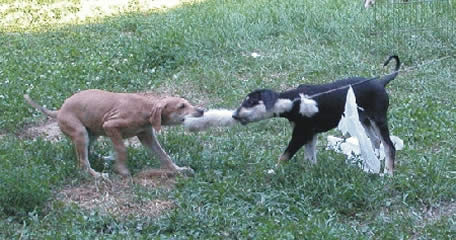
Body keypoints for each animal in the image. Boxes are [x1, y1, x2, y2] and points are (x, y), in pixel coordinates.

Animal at [25, 89, 203, 177]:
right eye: (181, 106)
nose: (201, 110)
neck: (146, 110)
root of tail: (59, 111)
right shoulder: (110, 126)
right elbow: (122, 149)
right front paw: (122, 170)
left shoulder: (147, 137)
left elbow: (164, 156)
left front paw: (179, 170)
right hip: (81, 132)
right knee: (83, 163)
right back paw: (97, 175)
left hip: (91, 133)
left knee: (87, 154)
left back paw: (105, 159)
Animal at [233, 55, 400, 173]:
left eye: (250, 102)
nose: (234, 115)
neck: (294, 101)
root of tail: (381, 82)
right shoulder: (310, 133)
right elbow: (310, 157)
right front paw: (310, 173)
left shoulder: (300, 134)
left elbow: (284, 156)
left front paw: (273, 171)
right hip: (364, 120)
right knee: (376, 141)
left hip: (378, 119)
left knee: (389, 146)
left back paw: (388, 173)